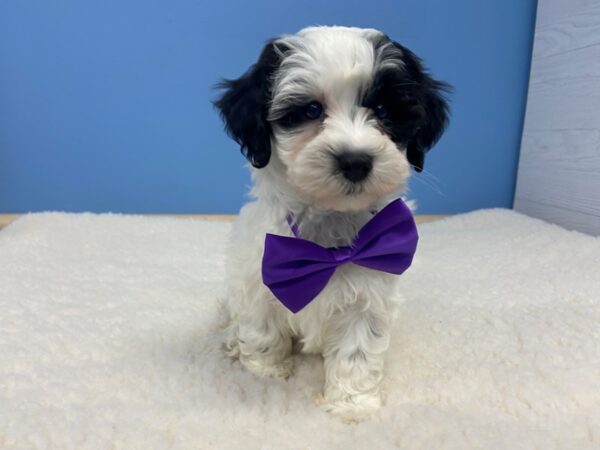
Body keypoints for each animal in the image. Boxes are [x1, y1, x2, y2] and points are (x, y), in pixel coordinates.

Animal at [213, 24, 448, 418]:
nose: (355, 160)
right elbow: (262, 329)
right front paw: (266, 374)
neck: (329, 234)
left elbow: (358, 352)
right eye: (310, 110)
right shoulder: (258, 276)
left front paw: (351, 406)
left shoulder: (369, 292)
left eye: (383, 109)